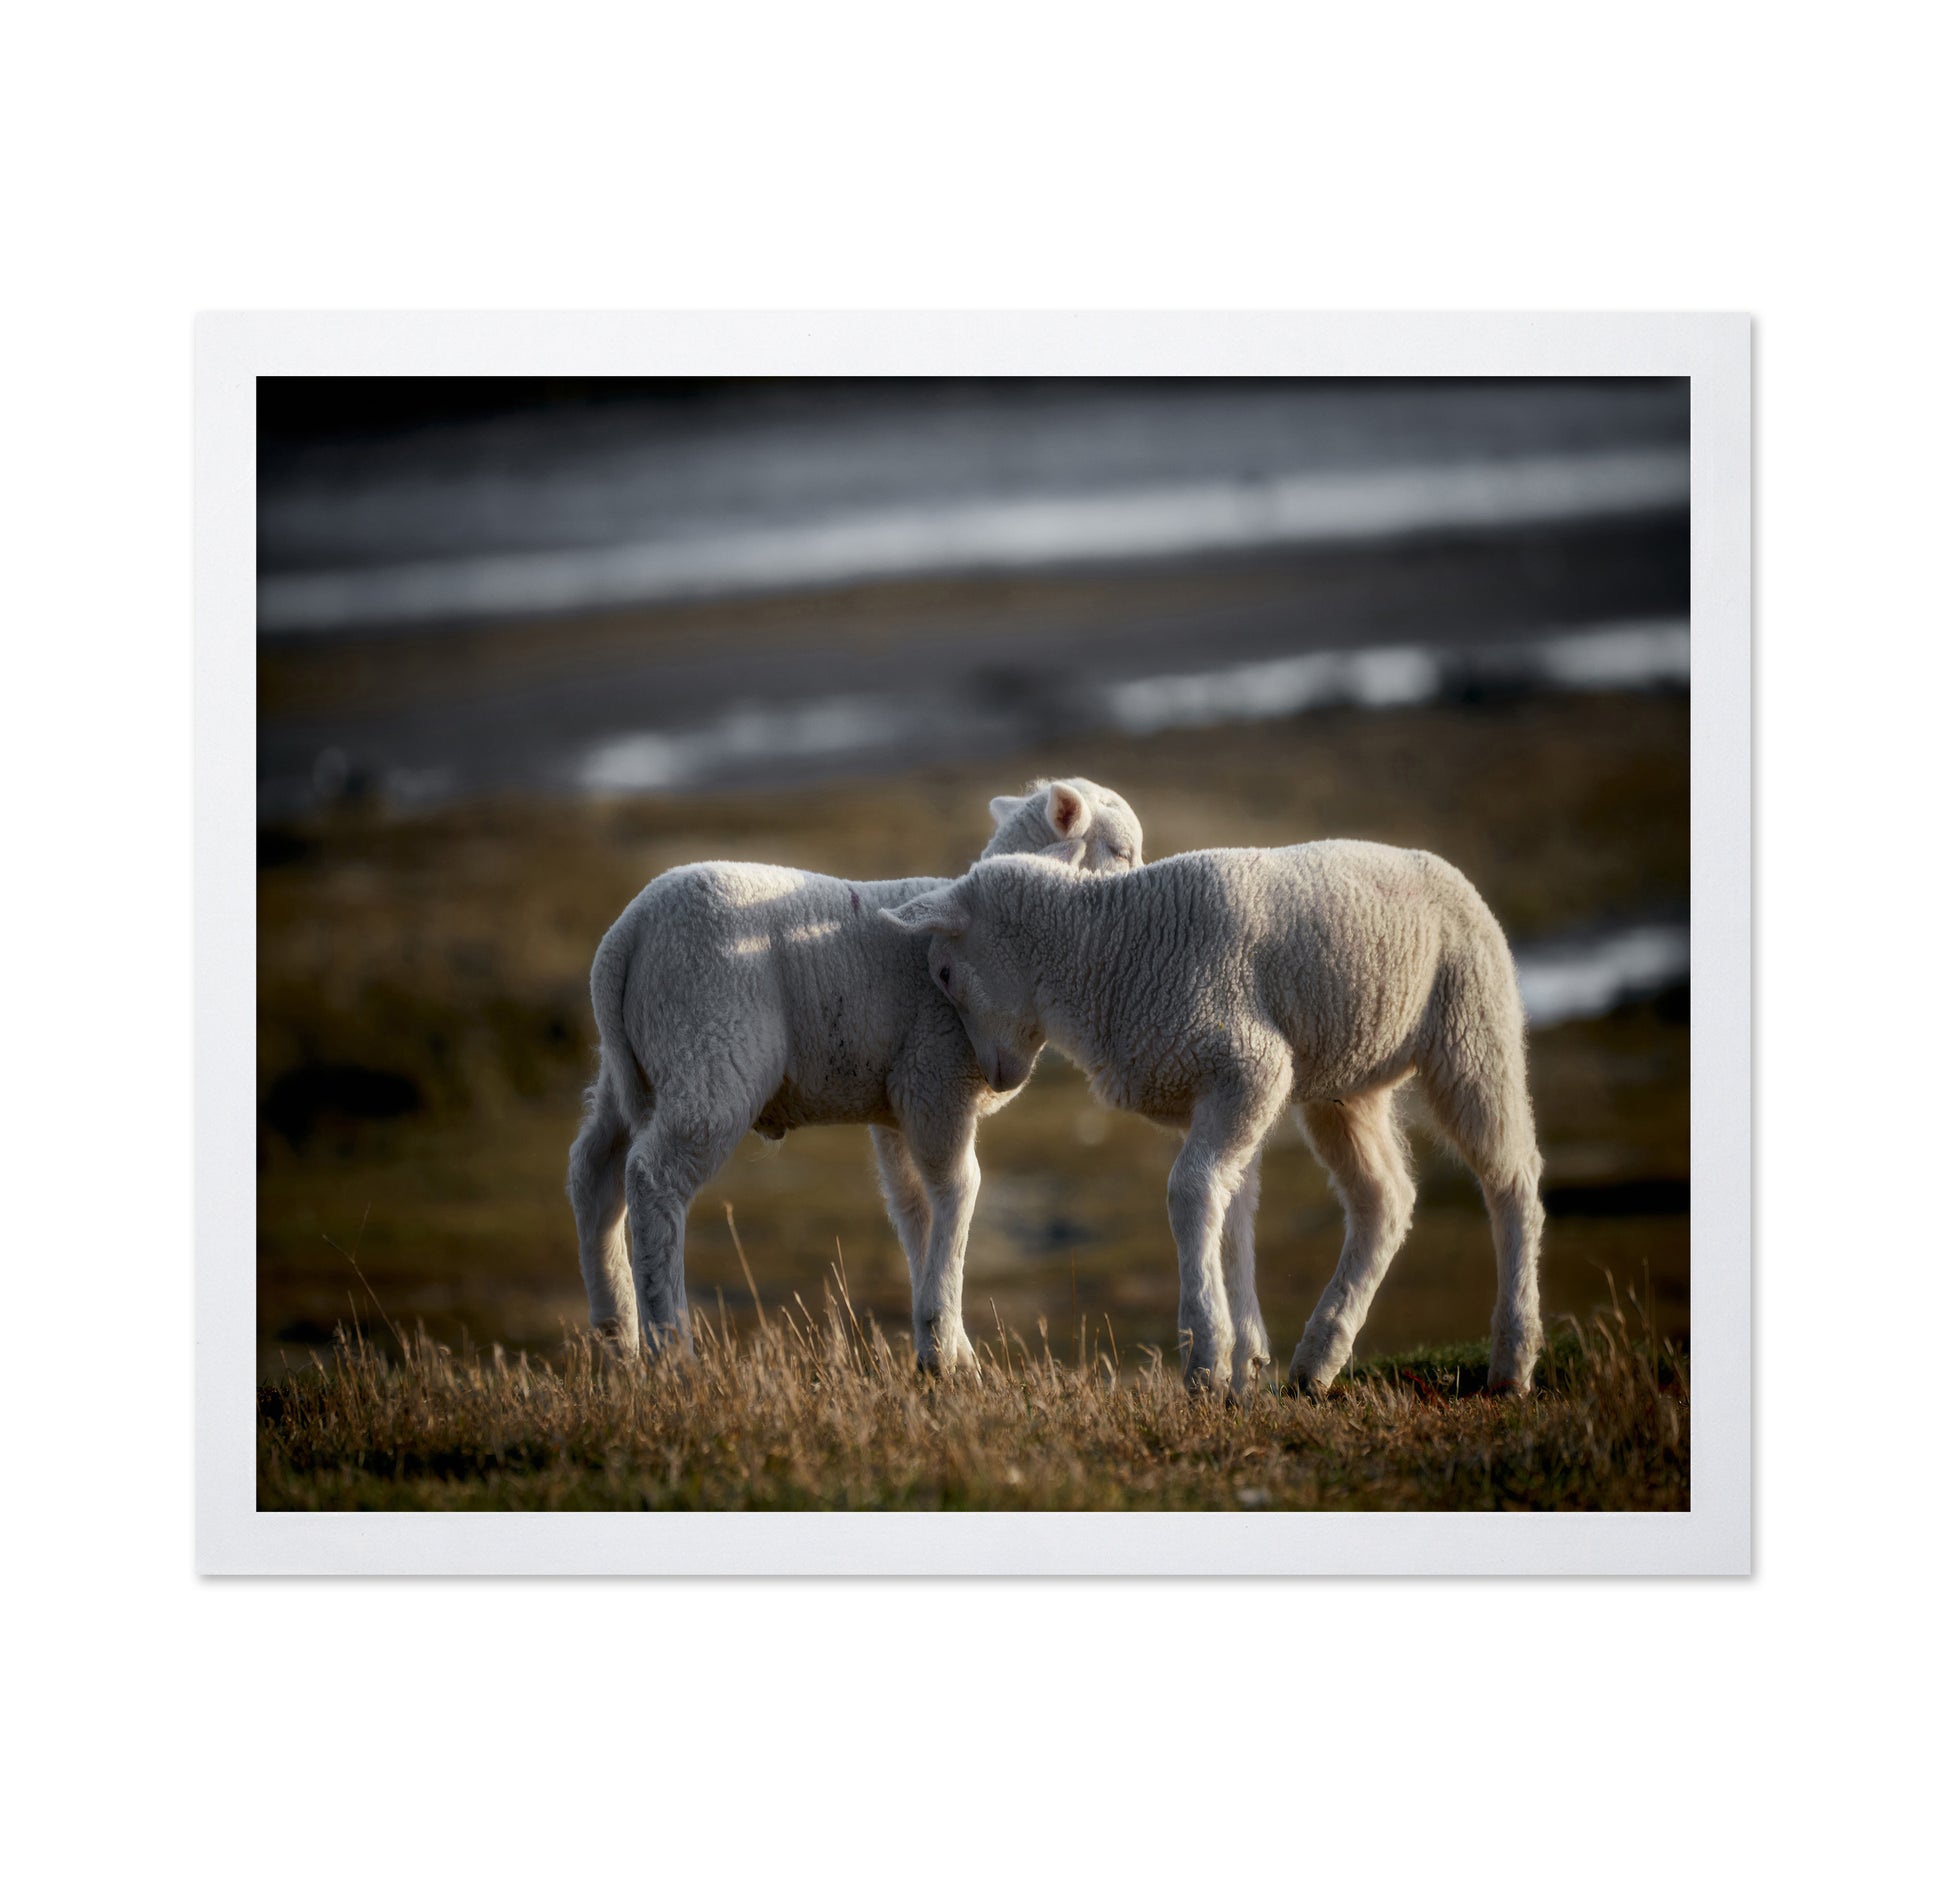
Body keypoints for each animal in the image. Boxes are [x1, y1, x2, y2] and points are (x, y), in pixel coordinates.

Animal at [567, 779, 1144, 1371]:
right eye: (1122, 852)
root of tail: (627, 934)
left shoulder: (897, 1105)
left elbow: (913, 1208)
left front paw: (949, 1348)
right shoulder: (935, 1080)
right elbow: (959, 1190)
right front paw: (944, 1345)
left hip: (636, 1067)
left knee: (594, 1171)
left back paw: (615, 1333)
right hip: (711, 1050)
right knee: (653, 1177)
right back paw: (672, 1350)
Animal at [882, 840, 1545, 1396]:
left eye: (945, 972)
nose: (994, 1081)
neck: (1105, 953)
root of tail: (1443, 867)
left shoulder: (1251, 1065)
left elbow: (1191, 1191)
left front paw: (1205, 1358)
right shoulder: (1209, 1091)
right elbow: (1230, 1209)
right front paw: (1242, 1362)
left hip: (1472, 1027)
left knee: (1512, 1181)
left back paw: (1512, 1360)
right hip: (1346, 1083)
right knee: (1385, 1197)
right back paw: (1318, 1359)